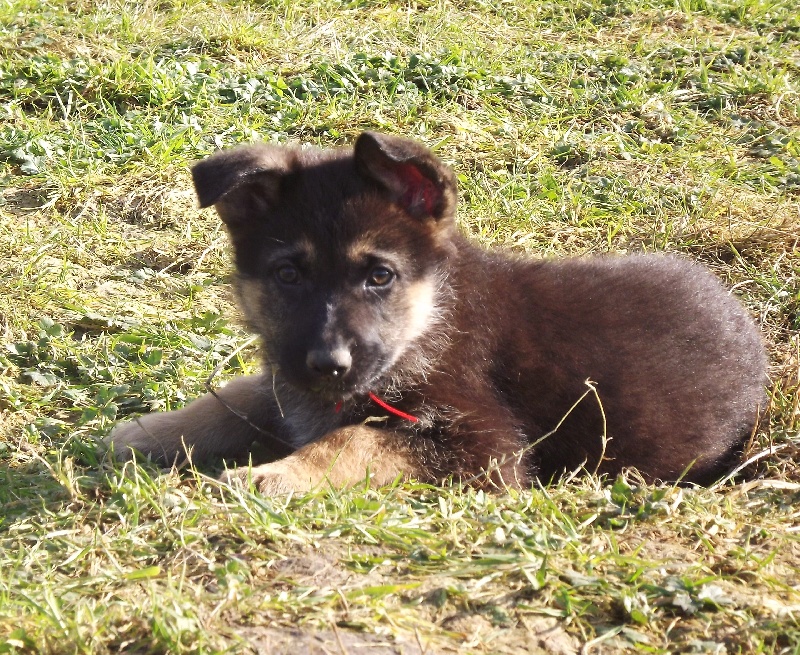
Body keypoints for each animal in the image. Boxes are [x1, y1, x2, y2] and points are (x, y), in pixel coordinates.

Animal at [107, 131, 768, 492]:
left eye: (380, 276)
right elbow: (238, 394)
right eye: (288, 275)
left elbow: (352, 441)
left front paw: (275, 474)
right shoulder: (290, 374)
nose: (330, 364)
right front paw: (148, 431)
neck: (429, 321)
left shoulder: (487, 446)